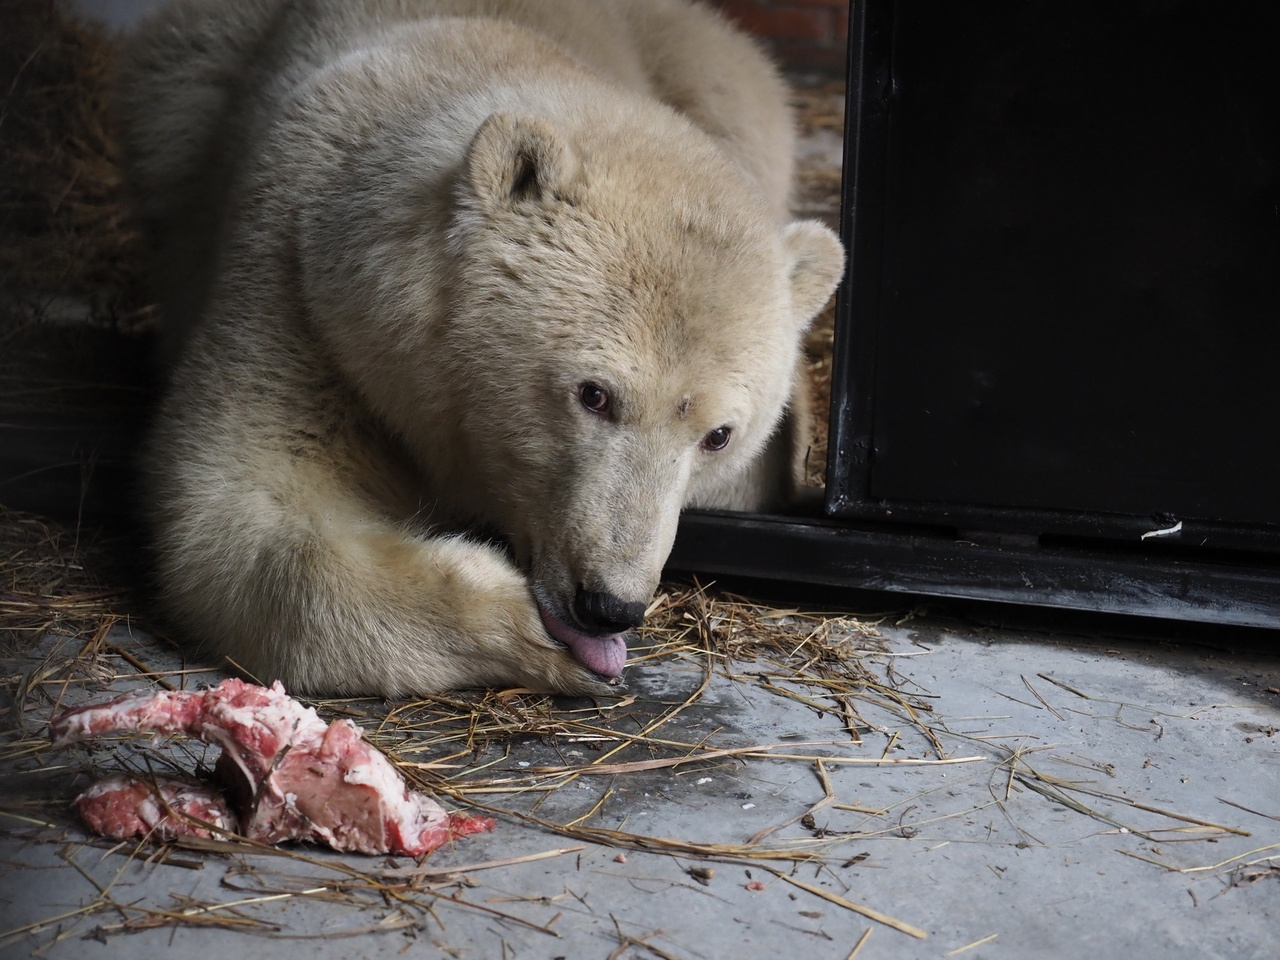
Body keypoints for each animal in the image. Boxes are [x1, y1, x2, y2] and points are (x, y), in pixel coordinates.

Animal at [115, 0, 844, 696]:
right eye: (594, 394)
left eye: (719, 435)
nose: (609, 606)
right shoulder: (295, 288)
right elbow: (240, 501)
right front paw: (520, 628)